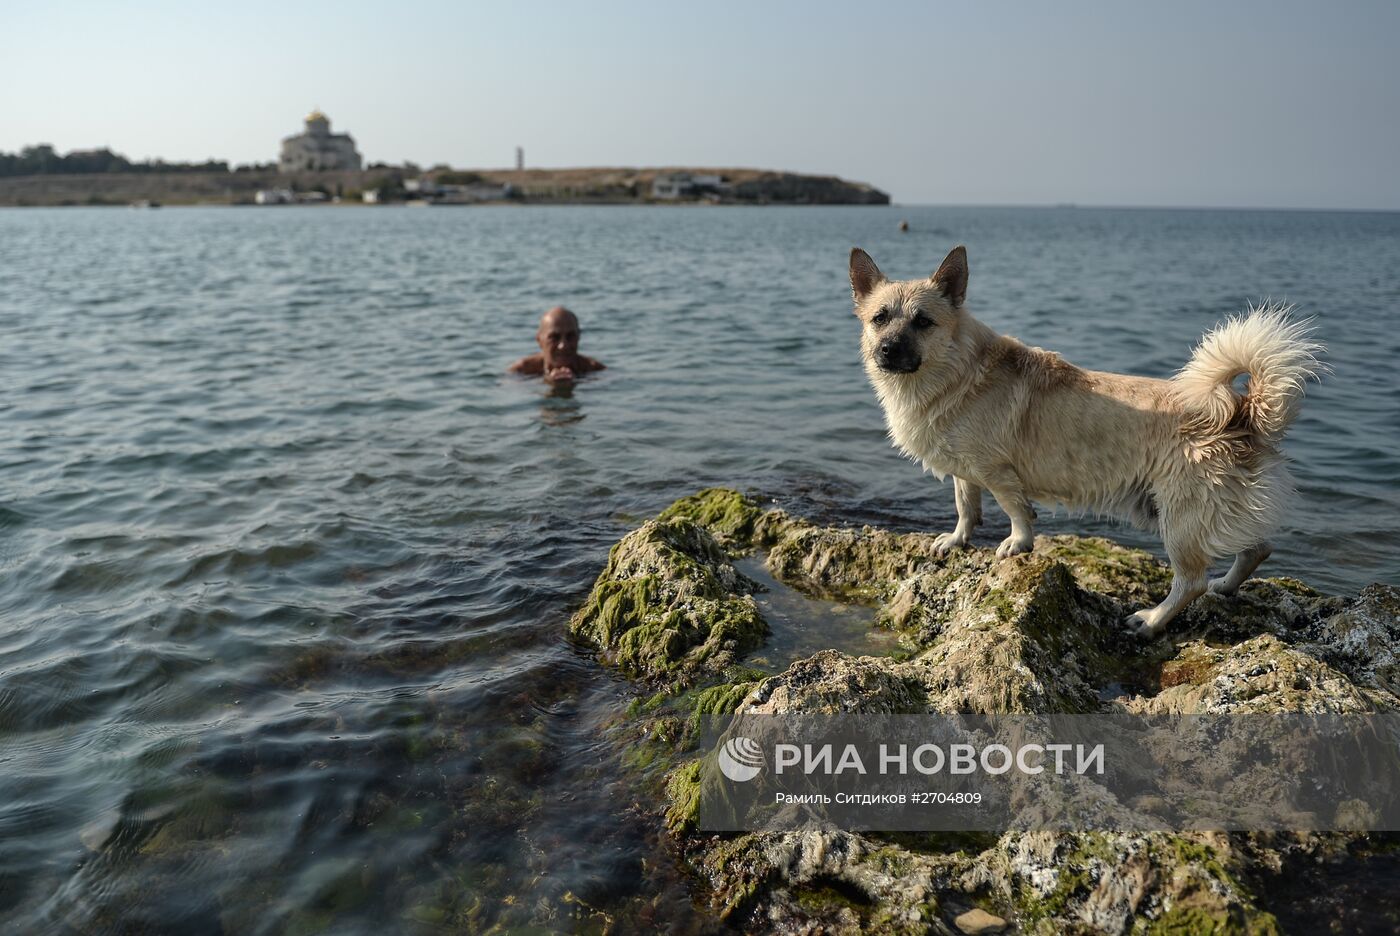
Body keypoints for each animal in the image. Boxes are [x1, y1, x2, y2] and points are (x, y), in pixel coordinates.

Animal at [851, 244, 1321, 635]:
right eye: (879, 319)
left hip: (1180, 519)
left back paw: (1151, 621)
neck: (953, 371)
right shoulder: (965, 470)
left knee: (1191, 583)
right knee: (1257, 548)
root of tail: (1244, 412)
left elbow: (1015, 511)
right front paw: (956, 540)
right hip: (1207, 511)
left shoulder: (997, 472)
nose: (887, 350)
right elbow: (965, 505)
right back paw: (1226, 586)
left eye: (923, 322)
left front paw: (1017, 545)